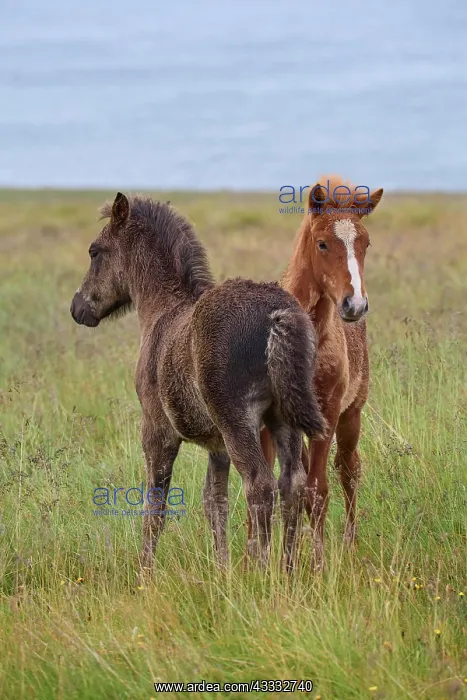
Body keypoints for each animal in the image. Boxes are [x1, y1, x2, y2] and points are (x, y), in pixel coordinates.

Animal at [70, 192, 325, 571]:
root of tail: (276, 314)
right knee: (291, 483)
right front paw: (223, 568)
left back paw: (263, 572)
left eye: (94, 251)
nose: (78, 308)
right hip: (283, 417)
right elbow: (214, 501)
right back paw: (287, 569)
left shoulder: (156, 429)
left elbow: (156, 503)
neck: (162, 310)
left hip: (238, 419)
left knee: (259, 484)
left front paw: (145, 571)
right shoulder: (216, 445)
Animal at [260, 177, 383, 571]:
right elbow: (276, 488)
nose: (354, 305)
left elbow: (317, 490)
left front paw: (316, 566)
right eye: (323, 243)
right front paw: (270, 564)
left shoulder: (327, 414)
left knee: (348, 470)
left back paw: (348, 543)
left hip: (352, 415)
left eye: (365, 242)